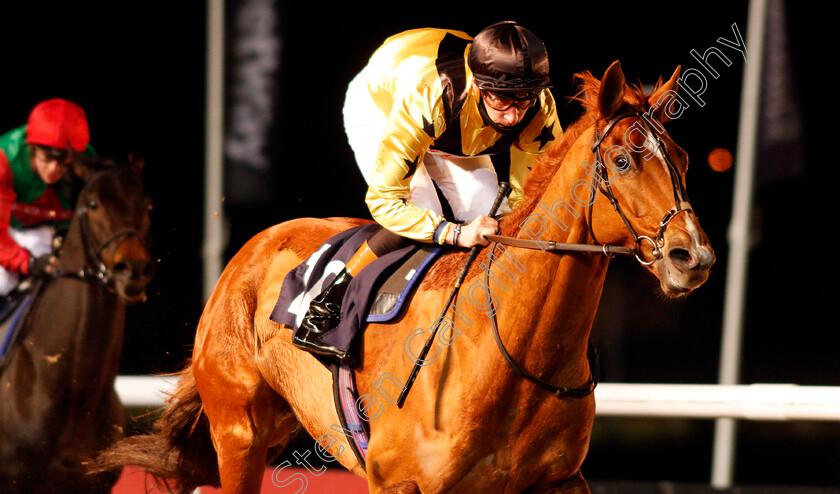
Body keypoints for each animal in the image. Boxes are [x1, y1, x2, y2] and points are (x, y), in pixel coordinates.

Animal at [95, 62, 716, 494]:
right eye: (623, 161)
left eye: (684, 160)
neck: (511, 354)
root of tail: (252, 248)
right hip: (238, 433)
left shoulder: (558, 481)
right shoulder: (400, 480)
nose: (693, 257)